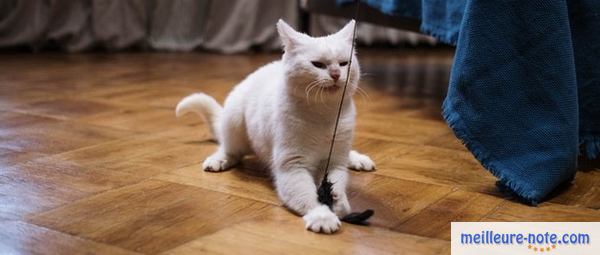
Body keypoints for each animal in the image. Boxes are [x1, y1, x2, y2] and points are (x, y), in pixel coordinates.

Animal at [173, 19, 378, 233]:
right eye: (318, 64)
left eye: (344, 63)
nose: (336, 74)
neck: (324, 114)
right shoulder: (292, 166)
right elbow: (307, 195)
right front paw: (322, 215)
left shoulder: (335, 161)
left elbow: (337, 181)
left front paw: (339, 202)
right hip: (234, 120)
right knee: (231, 150)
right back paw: (219, 160)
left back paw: (357, 159)